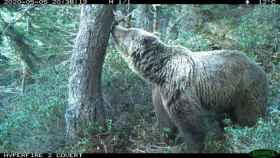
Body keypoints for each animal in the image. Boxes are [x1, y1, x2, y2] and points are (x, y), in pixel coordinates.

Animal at [110, 25, 268, 152]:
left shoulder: (179, 86)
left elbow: (190, 122)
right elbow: (165, 120)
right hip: (226, 97)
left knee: (249, 115)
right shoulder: (160, 92)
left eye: (129, 30)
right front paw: (167, 138)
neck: (160, 71)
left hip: (244, 89)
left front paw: (193, 146)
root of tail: (259, 67)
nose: (114, 26)